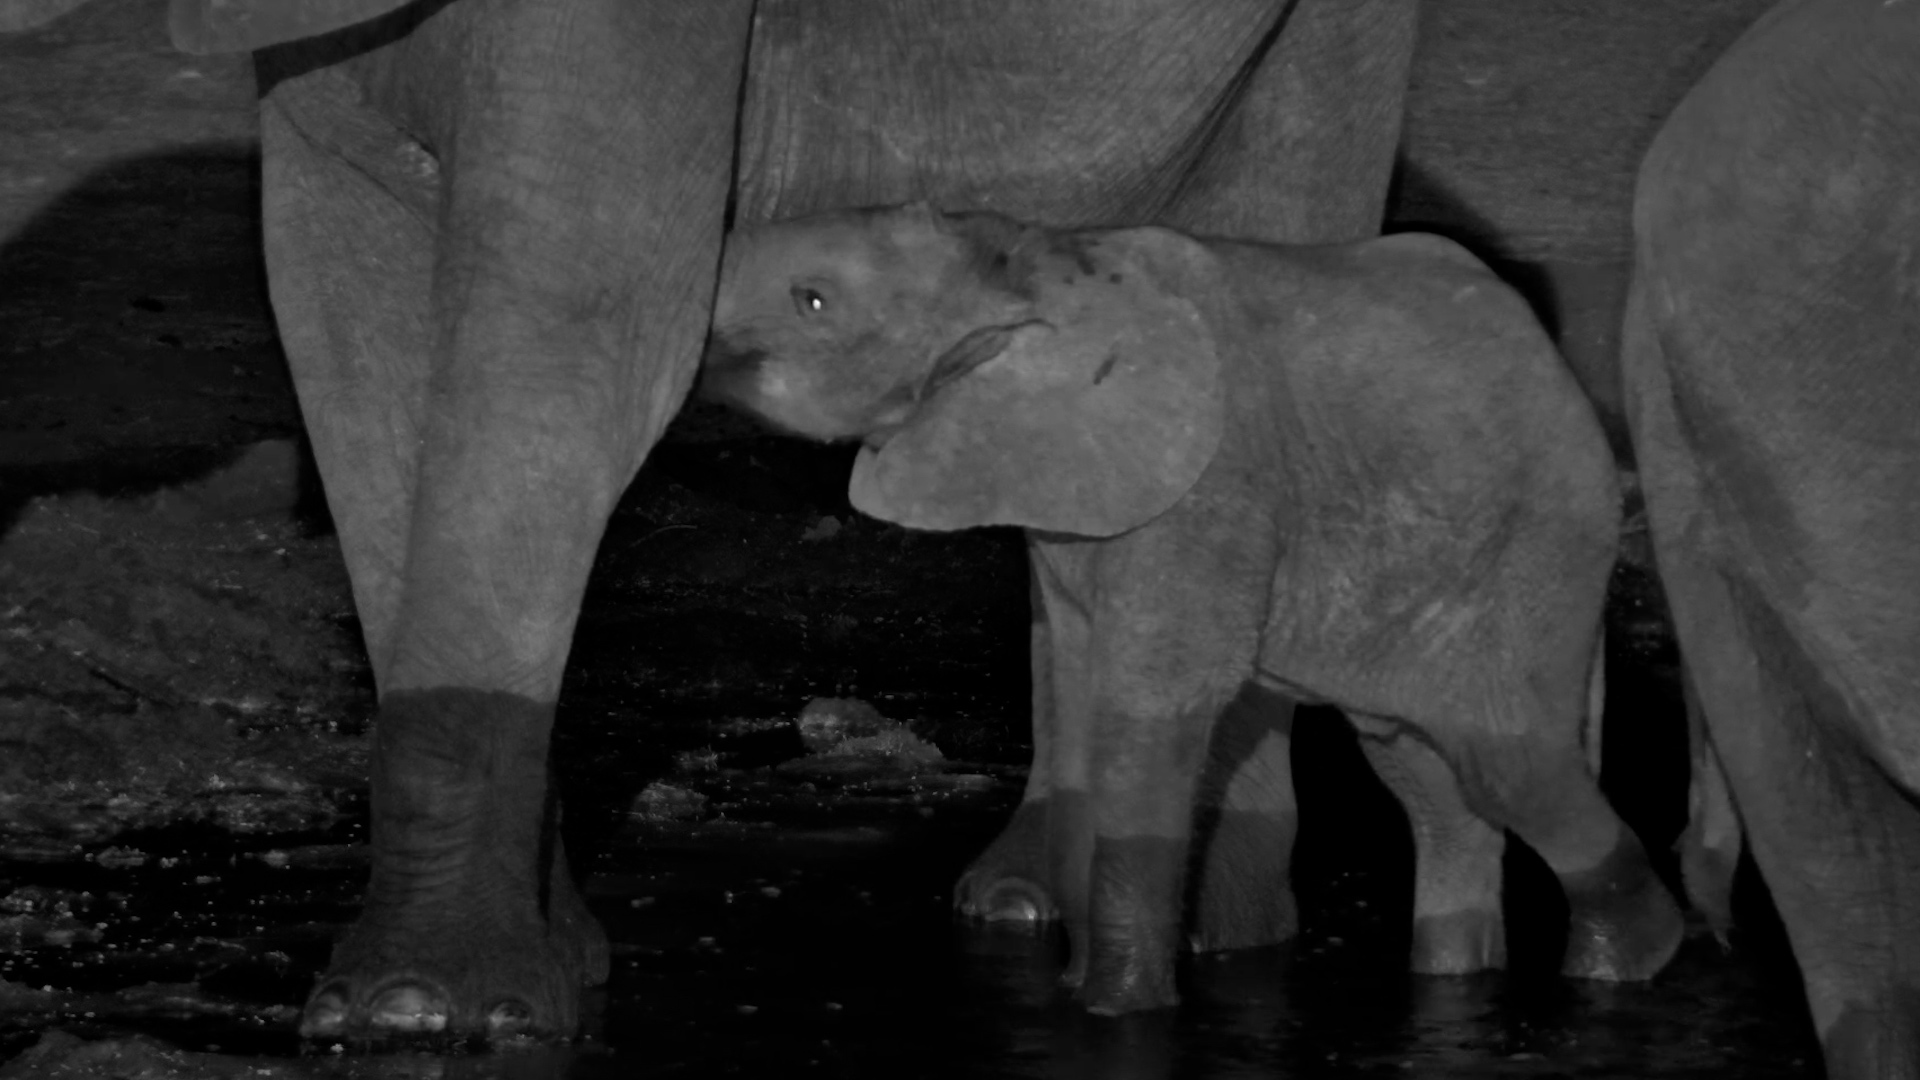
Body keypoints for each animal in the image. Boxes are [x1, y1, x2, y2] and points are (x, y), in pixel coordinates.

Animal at [1, 0, 1421, 1040]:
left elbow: (570, 345)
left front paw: (419, 1014)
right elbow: (348, 334)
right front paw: (548, 970)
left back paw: (1207, 932)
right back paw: (1028, 907)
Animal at [701, 201, 1686, 1012]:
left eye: (813, 301)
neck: (1021, 258)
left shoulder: (1209, 491)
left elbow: (1150, 712)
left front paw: (1118, 1014)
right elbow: (1081, 711)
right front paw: (1076, 995)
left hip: (1540, 550)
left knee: (1503, 762)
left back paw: (1630, 965)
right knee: (1424, 775)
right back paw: (1459, 980)